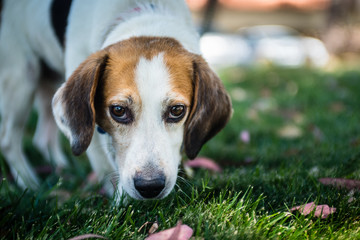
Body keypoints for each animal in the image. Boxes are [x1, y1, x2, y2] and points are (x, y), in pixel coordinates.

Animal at [0, 0, 232, 201]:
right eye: (118, 110)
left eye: (177, 110)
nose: (150, 186)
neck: (144, 14)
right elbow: (105, 167)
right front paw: (120, 203)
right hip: (21, 81)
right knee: (9, 142)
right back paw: (30, 185)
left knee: (43, 138)